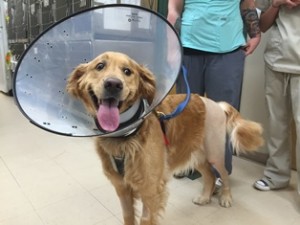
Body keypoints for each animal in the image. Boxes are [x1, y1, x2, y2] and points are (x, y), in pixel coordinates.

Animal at [67, 51, 264, 225]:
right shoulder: (122, 188)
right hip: (197, 155)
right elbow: (128, 217)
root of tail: (216, 103)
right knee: (209, 176)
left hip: (214, 153)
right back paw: (204, 197)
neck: (126, 136)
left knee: (223, 174)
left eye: (127, 71)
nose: (113, 84)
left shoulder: (151, 189)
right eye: (100, 66)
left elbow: (145, 220)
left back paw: (226, 197)